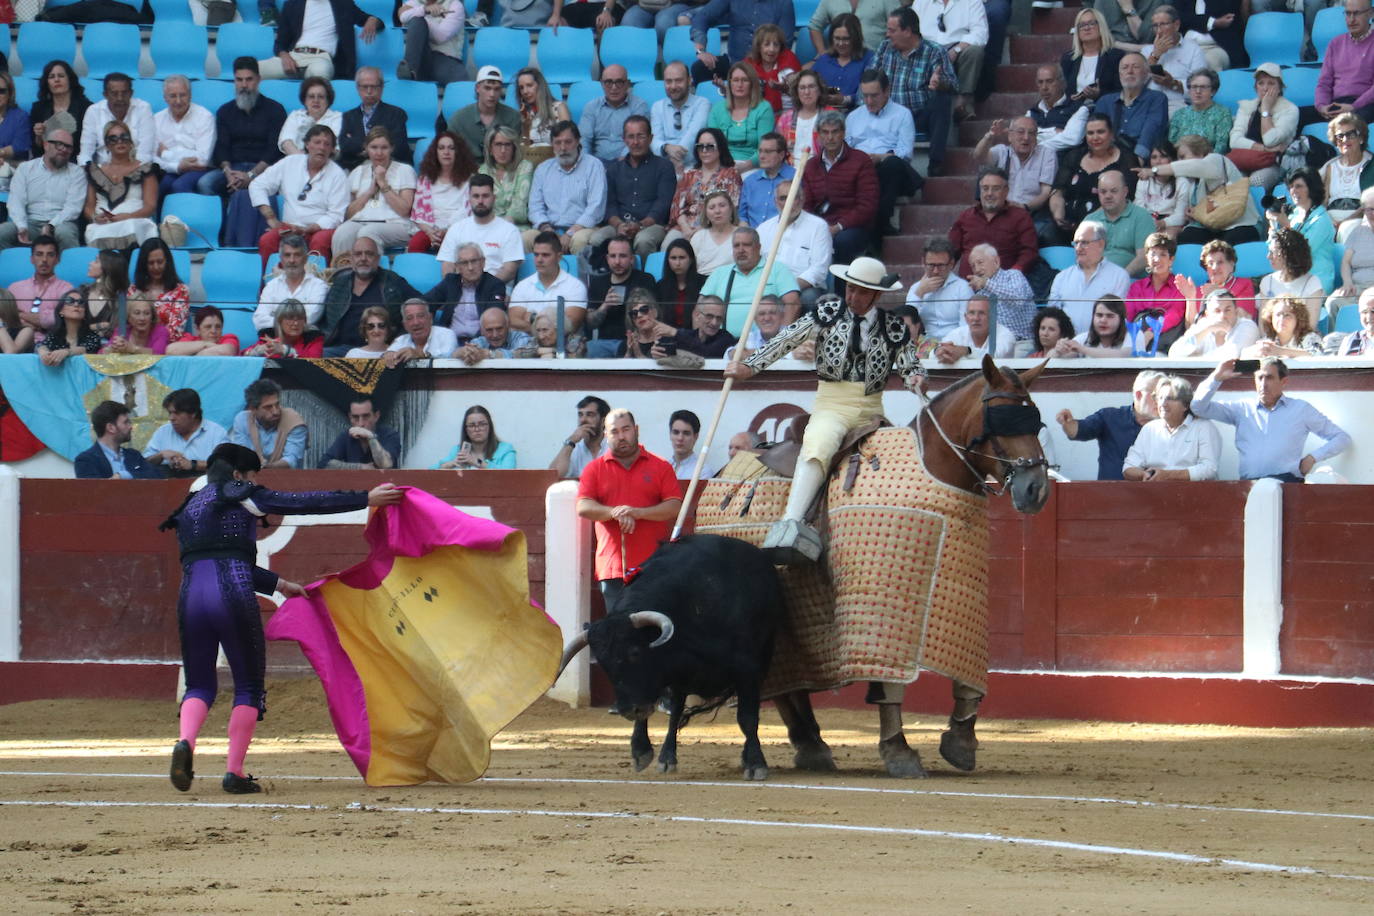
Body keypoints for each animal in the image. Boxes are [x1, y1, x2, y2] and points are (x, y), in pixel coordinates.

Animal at [552, 538, 780, 780]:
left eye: (635, 652)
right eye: (604, 664)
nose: (626, 710)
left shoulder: (748, 670)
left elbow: (747, 717)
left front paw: (755, 763)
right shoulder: (667, 675)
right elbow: (663, 710)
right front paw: (641, 751)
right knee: (676, 711)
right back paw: (667, 757)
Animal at [774, 354, 1049, 780]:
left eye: (1036, 424)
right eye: (1000, 421)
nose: (1036, 490)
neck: (935, 468)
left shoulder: (967, 602)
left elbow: (970, 676)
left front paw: (960, 742)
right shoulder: (881, 610)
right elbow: (890, 685)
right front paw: (899, 752)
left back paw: (812, 744)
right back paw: (811, 745)